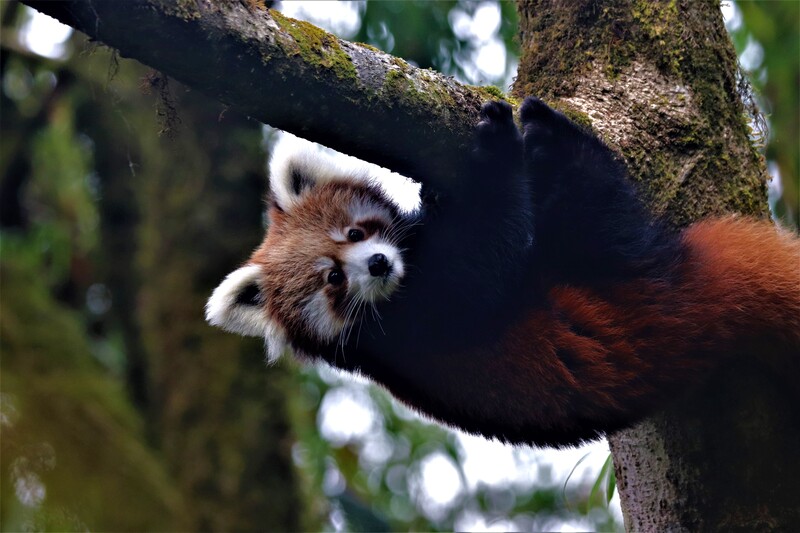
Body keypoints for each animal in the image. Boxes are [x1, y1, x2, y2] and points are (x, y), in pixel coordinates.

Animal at [205, 97, 800, 446]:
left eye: (354, 234)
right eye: (333, 280)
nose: (376, 263)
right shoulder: (419, 319)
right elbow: (490, 256)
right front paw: (495, 148)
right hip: (619, 267)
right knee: (596, 206)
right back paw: (553, 139)